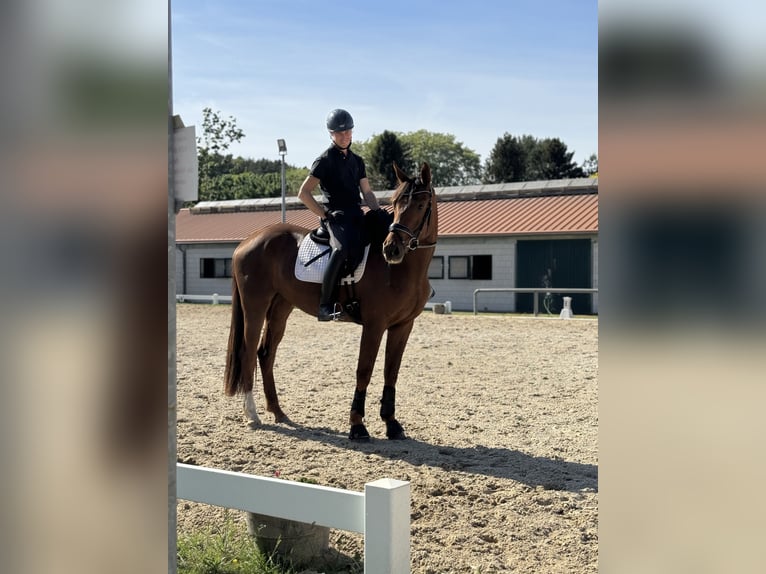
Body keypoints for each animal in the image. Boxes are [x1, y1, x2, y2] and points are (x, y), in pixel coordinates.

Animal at [222, 162, 438, 440]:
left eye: (421, 205)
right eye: (396, 203)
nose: (391, 249)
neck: (401, 269)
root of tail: (249, 240)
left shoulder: (403, 326)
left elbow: (391, 372)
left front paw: (391, 424)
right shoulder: (374, 325)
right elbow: (364, 370)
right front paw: (357, 425)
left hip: (280, 307)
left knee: (266, 353)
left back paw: (278, 412)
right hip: (255, 306)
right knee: (247, 352)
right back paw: (252, 415)